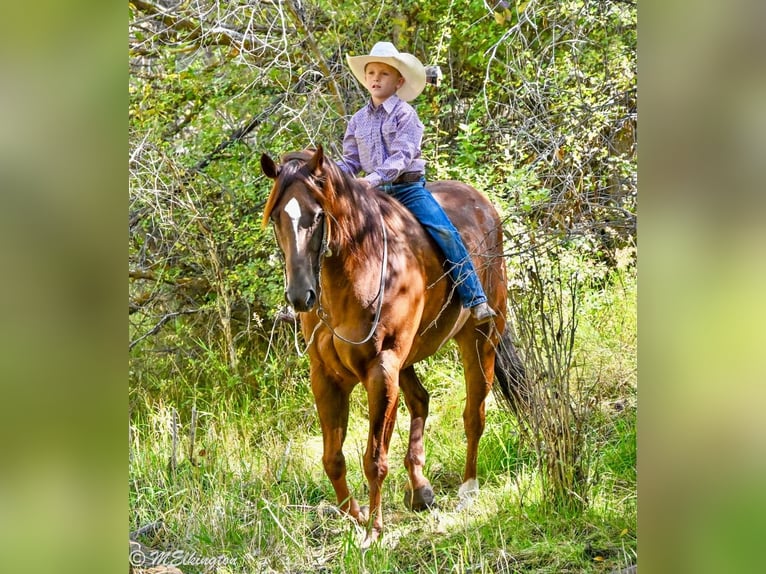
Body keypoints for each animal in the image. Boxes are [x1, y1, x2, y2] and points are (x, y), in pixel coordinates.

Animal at [260, 146, 525, 546]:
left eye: (317, 215)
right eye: (277, 216)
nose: (300, 295)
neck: (356, 272)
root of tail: (483, 204)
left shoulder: (380, 370)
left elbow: (374, 459)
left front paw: (373, 530)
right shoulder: (326, 377)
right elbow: (332, 458)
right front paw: (355, 516)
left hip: (480, 339)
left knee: (474, 415)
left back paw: (467, 490)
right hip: (408, 360)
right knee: (421, 401)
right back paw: (420, 490)